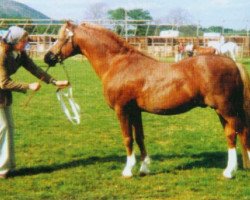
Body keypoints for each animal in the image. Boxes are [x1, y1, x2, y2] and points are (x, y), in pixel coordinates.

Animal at [45, 21, 250, 178]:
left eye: (61, 38)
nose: (48, 57)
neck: (117, 64)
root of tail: (233, 63)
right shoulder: (135, 111)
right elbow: (139, 138)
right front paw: (144, 168)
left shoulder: (122, 110)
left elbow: (127, 138)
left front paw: (128, 170)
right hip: (222, 111)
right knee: (232, 135)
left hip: (227, 110)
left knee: (239, 132)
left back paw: (231, 171)